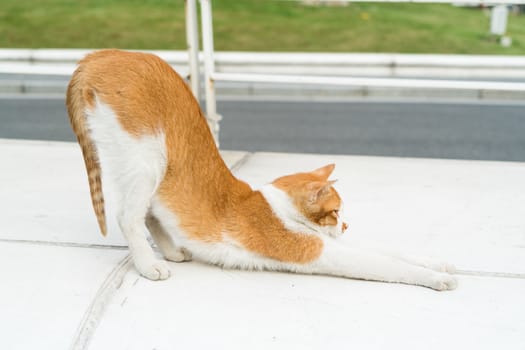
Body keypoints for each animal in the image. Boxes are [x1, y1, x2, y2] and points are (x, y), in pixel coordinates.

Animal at [66, 48, 454, 290]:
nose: (346, 225)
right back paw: (150, 265)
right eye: (336, 211)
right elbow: (386, 264)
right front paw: (438, 279)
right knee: (129, 216)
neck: (277, 208)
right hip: (146, 157)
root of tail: (103, 54)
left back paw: (173, 252)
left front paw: (439, 263)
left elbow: (393, 251)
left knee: (149, 213)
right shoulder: (318, 252)